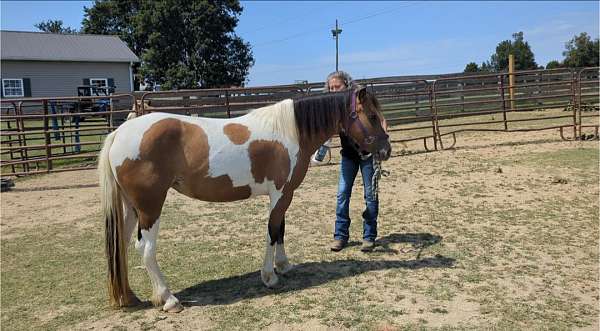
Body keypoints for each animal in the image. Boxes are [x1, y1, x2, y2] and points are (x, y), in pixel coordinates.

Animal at [98, 86, 392, 314]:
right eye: (372, 116)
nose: (386, 150)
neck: (290, 132)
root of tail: (118, 134)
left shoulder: (285, 195)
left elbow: (281, 230)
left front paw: (283, 265)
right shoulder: (280, 194)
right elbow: (272, 232)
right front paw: (269, 276)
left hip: (131, 208)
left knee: (121, 246)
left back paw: (129, 297)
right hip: (150, 207)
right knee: (144, 249)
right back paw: (168, 299)